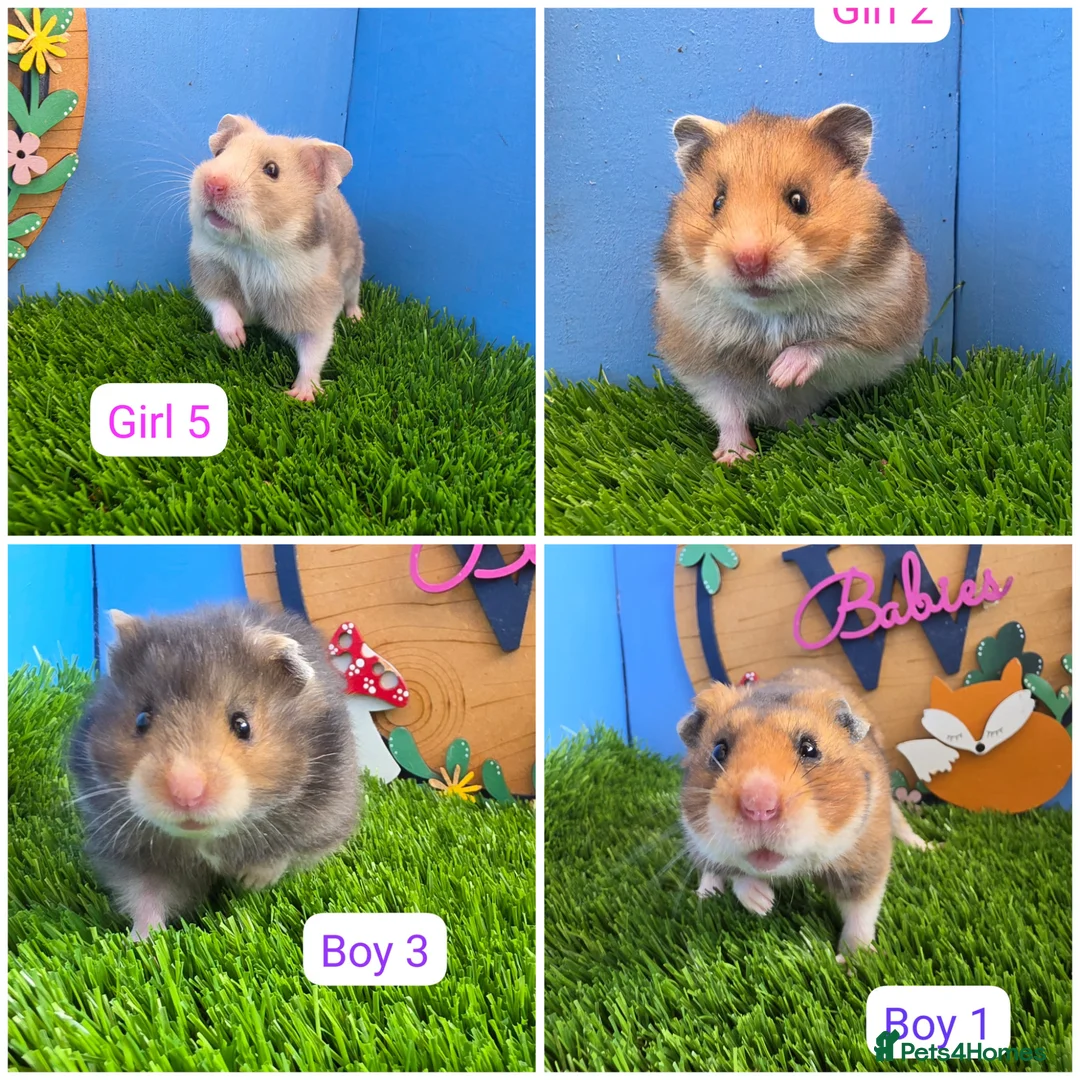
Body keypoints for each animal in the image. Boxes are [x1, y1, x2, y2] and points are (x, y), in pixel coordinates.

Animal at [67, 604, 360, 941]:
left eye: (242, 724)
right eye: (141, 719)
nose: (186, 794)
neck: (204, 838)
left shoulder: (323, 820)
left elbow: (282, 853)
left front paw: (250, 881)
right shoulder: (132, 853)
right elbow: (146, 896)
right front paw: (142, 942)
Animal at [188, 114, 365, 401]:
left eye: (272, 170)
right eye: (220, 153)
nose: (213, 183)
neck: (251, 250)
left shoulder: (314, 308)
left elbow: (314, 349)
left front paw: (301, 395)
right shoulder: (209, 271)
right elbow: (220, 304)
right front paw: (235, 340)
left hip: (353, 273)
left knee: (352, 297)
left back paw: (356, 317)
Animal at [655, 105, 929, 463]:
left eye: (799, 200)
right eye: (717, 202)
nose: (749, 261)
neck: (771, 310)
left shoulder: (880, 338)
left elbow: (824, 344)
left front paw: (780, 373)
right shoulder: (703, 359)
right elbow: (727, 407)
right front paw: (732, 457)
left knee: (793, 416)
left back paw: (821, 427)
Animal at [677, 668, 927, 960]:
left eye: (810, 749)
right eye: (718, 750)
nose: (759, 806)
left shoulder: (866, 858)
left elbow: (861, 913)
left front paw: (851, 960)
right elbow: (737, 874)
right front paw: (763, 904)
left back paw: (928, 847)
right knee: (708, 866)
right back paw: (706, 894)